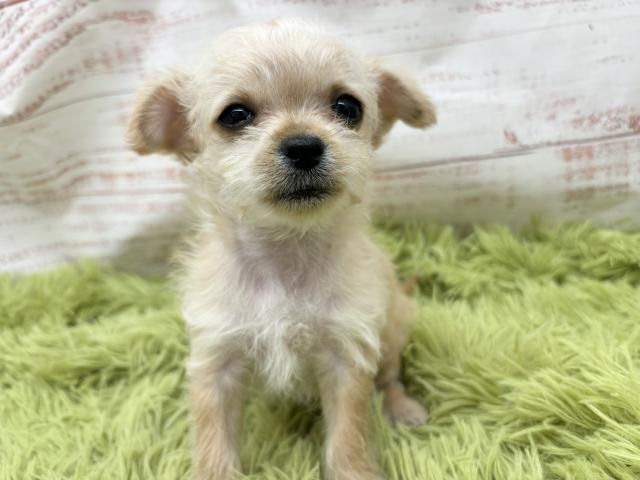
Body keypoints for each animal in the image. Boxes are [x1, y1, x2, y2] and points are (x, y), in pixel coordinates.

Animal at [127, 19, 436, 480]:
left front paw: (355, 470)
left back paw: (402, 408)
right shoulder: (216, 360)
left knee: (390, 377)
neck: (284, 254)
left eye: (348, 107)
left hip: (393, 329)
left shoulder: (346, 356)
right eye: (235, 115)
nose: (304, 145)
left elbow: (348, 439)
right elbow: (214, 441)